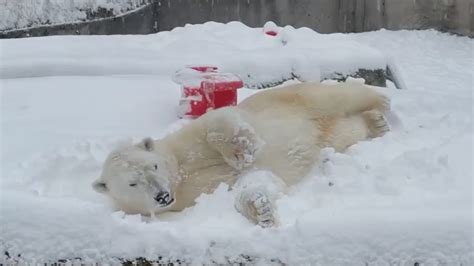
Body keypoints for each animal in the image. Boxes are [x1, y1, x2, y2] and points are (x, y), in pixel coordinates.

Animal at [91, 81, 388, 227]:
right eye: (133, 183)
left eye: (152, 166)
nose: (162, 195)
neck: (180, 178)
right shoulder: (193, 195)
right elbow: (255, 181)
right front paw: (261, 210)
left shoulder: (185, 143)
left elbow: (217, 121)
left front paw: (242, 150)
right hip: (327, 132)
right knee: (344, 132)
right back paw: (375, 124)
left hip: (295, 98)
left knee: (338, 96)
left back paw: (381, 102)